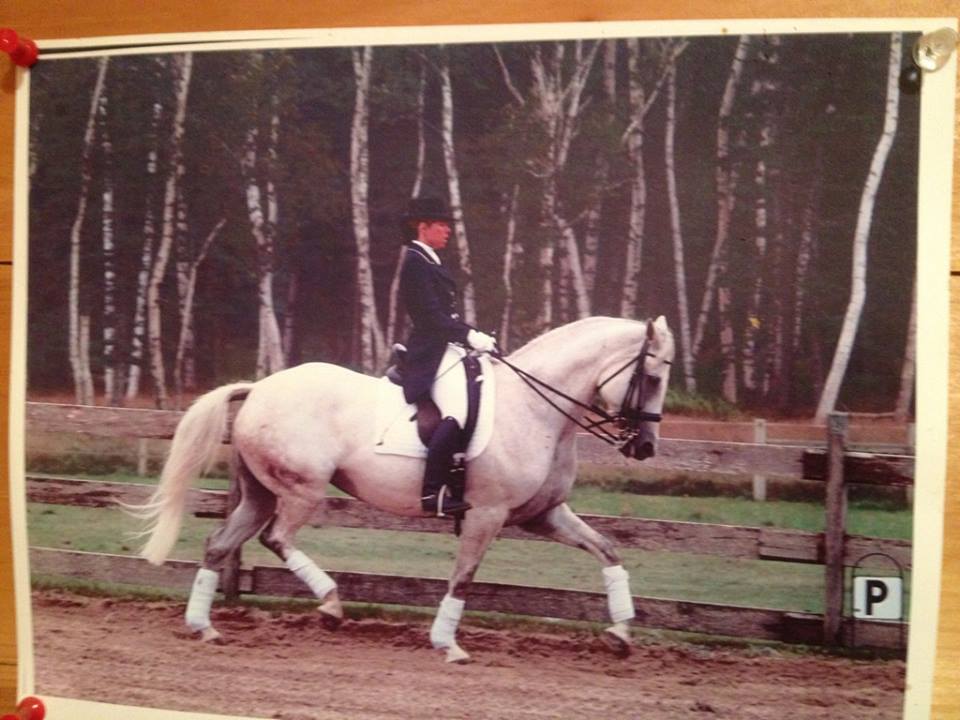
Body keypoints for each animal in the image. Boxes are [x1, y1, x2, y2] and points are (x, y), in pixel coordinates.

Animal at [133, 316, 676, 664]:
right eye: (651, 377)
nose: (645, 447)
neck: (535, 410)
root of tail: (258, 389)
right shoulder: (486, 514)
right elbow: (463, 578)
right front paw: (447, 644)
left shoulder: (544, 514)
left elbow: (608, 550)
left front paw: (620, 632)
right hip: (300, 490)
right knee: (277, 538)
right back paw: (330, 605)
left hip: (260, 493)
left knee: (218, 544)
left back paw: (205, 626)